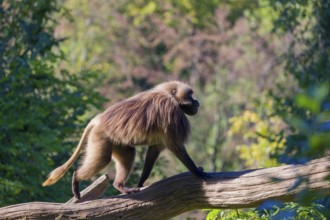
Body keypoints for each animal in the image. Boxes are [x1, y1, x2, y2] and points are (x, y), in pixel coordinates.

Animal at [42, 81, 208, 199]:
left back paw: (120, 186)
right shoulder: (172, 114)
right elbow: (176, 146)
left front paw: (141, 182)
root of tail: (99, 118)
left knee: (127, 154)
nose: (197, 102)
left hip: (116, 141)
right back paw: (76, 178)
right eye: (191, 95)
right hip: (100, 137)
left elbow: (154, 148)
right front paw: (198, 172)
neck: (170, 96)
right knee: (103, 159)